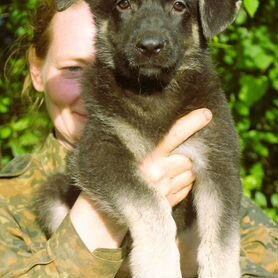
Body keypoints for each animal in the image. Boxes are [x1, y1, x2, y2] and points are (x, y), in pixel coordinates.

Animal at [36, 1, 241, 276]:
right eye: (123, 4)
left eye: (180, 6)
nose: (150, 46)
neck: (152, 91)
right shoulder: (99, 151)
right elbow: (151, 206)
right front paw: (159, 266)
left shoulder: (219, 163)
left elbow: (222, 243)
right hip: (52, 195)